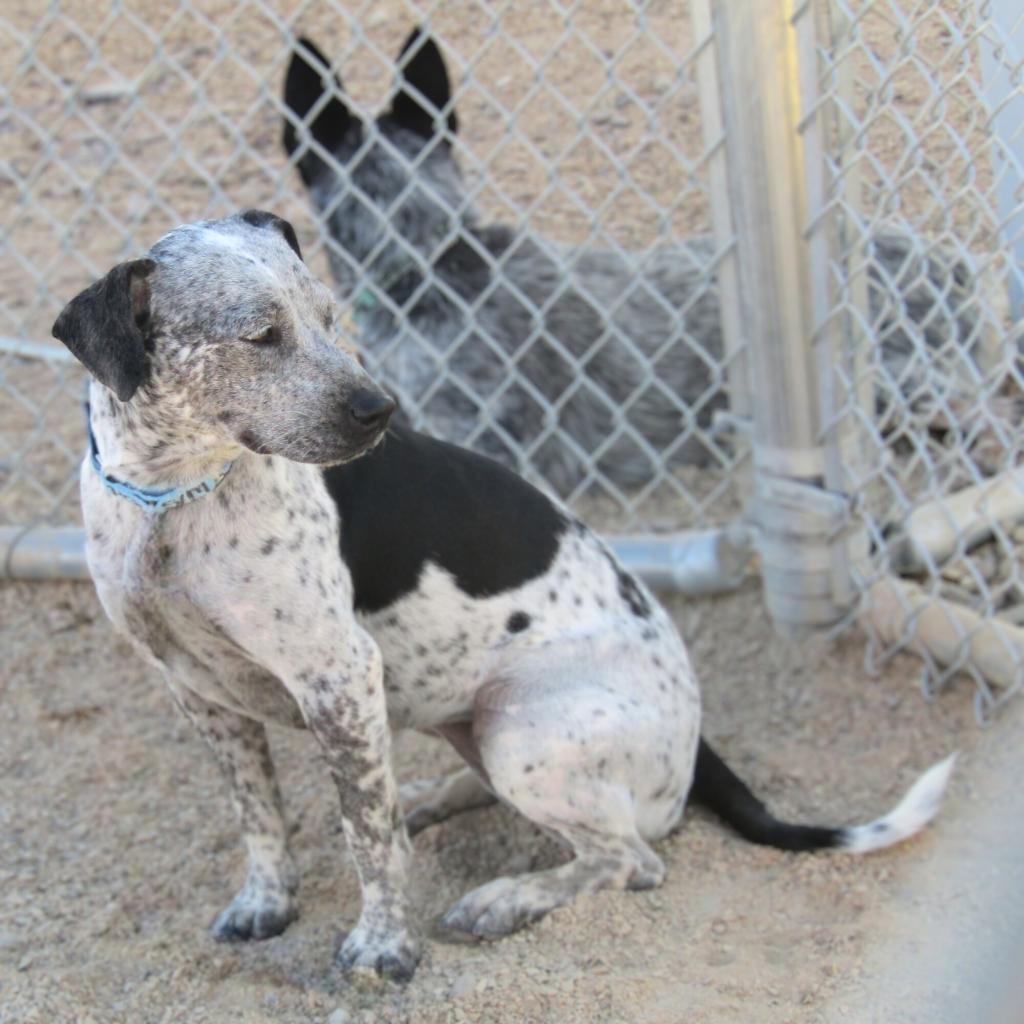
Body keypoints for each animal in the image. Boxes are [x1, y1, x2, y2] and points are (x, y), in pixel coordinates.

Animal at [54, 209, 950, 983]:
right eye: (260, 336)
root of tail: (696, 740)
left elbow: (368, 842)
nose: (380, 410)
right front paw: (267, 901)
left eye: (329, 315)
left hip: (523, 728)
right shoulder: (198, 692)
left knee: (630, 858)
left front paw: (384, 947)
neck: (173, 502)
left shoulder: (337, 676)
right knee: (480, 794)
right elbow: (259, 815)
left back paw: (505, 899)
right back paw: (423, 801)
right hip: (475, 722)